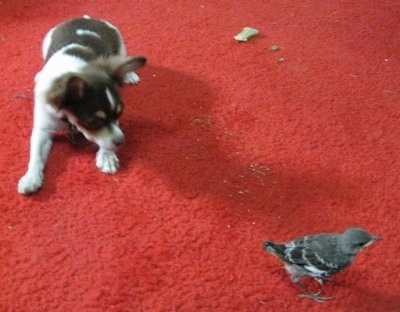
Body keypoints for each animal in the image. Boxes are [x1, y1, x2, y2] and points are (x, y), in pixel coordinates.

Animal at [18, 16, 147, 195]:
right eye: (93, 122)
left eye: (119, 114)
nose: (121, 141)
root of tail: (85, 18)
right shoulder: (43, 128)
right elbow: (36, 155)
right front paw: (31, 177)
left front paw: (107, 156)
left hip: (120, 44)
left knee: (120, 57)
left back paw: (129, 74)